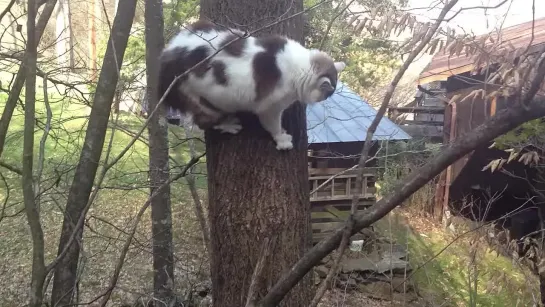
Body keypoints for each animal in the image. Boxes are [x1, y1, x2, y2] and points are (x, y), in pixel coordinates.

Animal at [157, 19, 344, 151]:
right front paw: (282, 139)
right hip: (202, 102)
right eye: (327, 94)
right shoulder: (269, 107)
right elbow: (273, 126)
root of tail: (168, 56)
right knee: (200, 123)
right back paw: (229, 124)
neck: (299, 67)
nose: (323, 100)